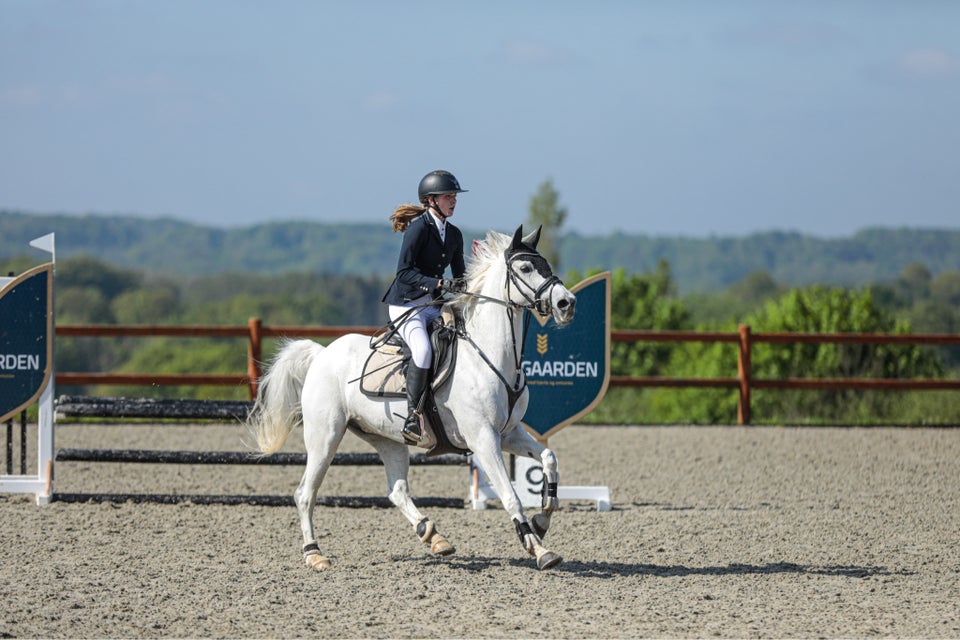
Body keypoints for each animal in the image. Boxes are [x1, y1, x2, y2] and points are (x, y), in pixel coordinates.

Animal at [249, 225, 576, 568]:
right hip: (325, 436)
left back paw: (433, 536)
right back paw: (315, 555)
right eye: (525, 268)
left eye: (546, 265)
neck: (490, 354)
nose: (567, 303)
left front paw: (542, 520)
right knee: (305, 493)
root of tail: (321, 353)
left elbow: (549, 458)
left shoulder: (509, 433)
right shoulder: (483, 439)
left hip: (387, 439)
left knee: (396, 490)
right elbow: (510, 496)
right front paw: (539, 549)